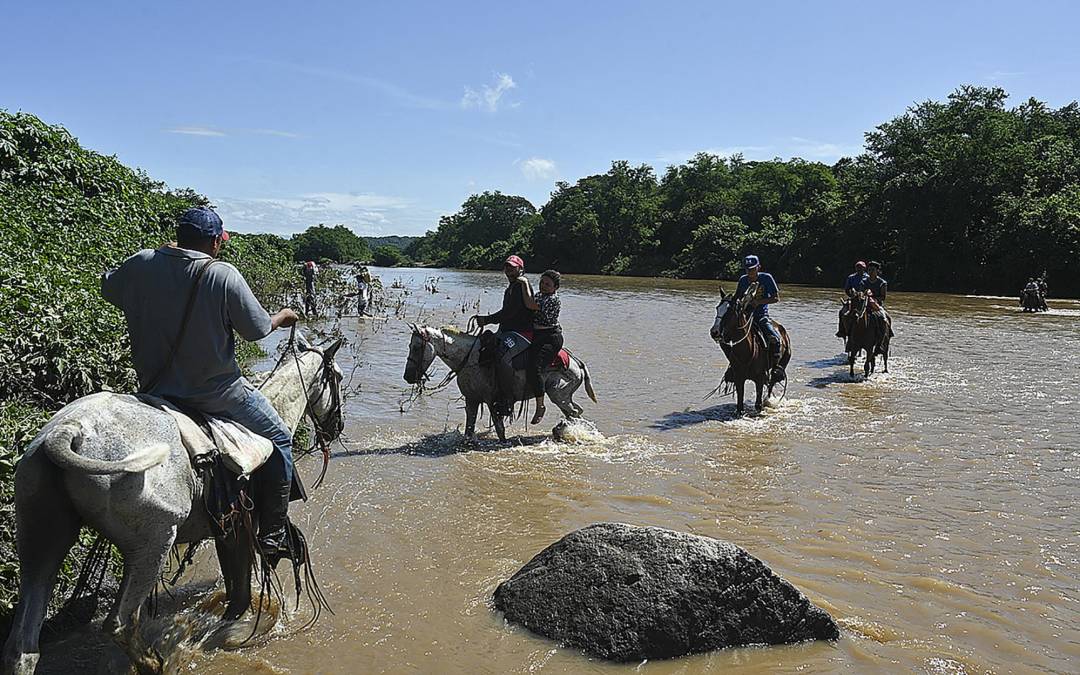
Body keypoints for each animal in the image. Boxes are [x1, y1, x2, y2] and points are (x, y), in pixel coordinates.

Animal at [2, 334, 343, 669]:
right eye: (337, 377)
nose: (336, 427)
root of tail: (67, 430)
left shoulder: (228, 531)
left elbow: (235, 591)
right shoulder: (244, 530)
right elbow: (241, 596)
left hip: (40, 546)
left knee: (23, 645)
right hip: (152, 546)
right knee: (121, 623)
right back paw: (156, 662)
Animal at [406, 321, 596, 440]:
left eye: (416, 347)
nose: (407, 377)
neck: (471, 358)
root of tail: (577, 363)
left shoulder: (493, 401)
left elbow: (500, 431)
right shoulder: (472, 400)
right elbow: (469, 428)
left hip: (558, 394)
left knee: (574, 413)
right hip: (563, 396)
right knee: (575, 413)